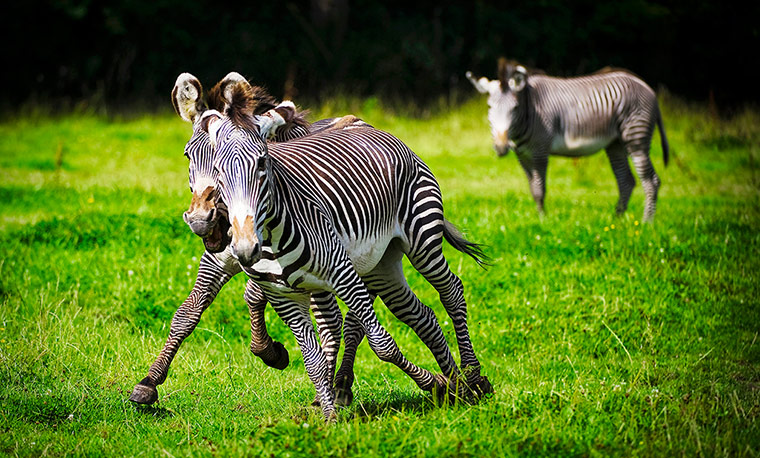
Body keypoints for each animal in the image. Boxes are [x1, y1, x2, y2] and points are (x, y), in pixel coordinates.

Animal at [129, 75, 358, 408]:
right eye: (187, 155)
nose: (200, 220)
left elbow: (253, 296)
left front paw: (271, 352)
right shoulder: (216, 259)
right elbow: (188, 312)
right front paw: (148, 382)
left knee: (345, 319)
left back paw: (339, 385)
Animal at [196, 77, 490, 420]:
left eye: (262, 164)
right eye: (218, 171)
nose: (244, 247)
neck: (272, 240)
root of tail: (368, 126)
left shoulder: (343, 275)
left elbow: (381, 344)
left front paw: (434, 384)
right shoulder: (283, 297)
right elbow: (312, 359)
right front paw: (329, 419)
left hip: (421, 239)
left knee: (451, 291)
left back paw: (473, 377)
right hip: (381, 264)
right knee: (421, 314)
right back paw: (458, 385)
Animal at [466, 57, 668, 222]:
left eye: (514, 108)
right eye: (489, 107)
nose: (501, 148)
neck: (530, 107)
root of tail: (646, 87)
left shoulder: (540, 151)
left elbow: (539, 189)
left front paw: (542, 220)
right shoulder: (521, 155)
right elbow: (532, 189)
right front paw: (539, 216)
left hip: (636, 138)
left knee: (651, 181)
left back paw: (646, 223)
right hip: (615, 144)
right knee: (626, 181)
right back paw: (616, 220)